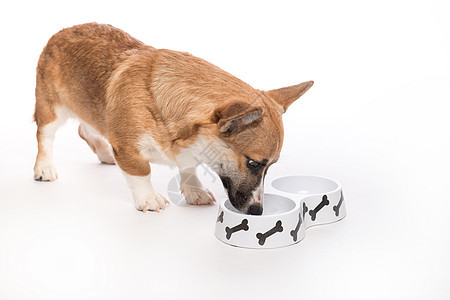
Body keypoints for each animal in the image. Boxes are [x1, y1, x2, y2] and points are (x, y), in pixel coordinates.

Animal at [33, 23, 312, 216]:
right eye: (253, 163)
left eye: (270, 165)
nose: (257, 211)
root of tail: (61, 32)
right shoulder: (129, 147)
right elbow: (141, 171)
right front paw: (148, 199)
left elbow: (187, 167)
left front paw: (194, 189)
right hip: (52, 109)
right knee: (45, 135)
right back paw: (44, 167)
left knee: (87, 129)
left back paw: (105, 154)